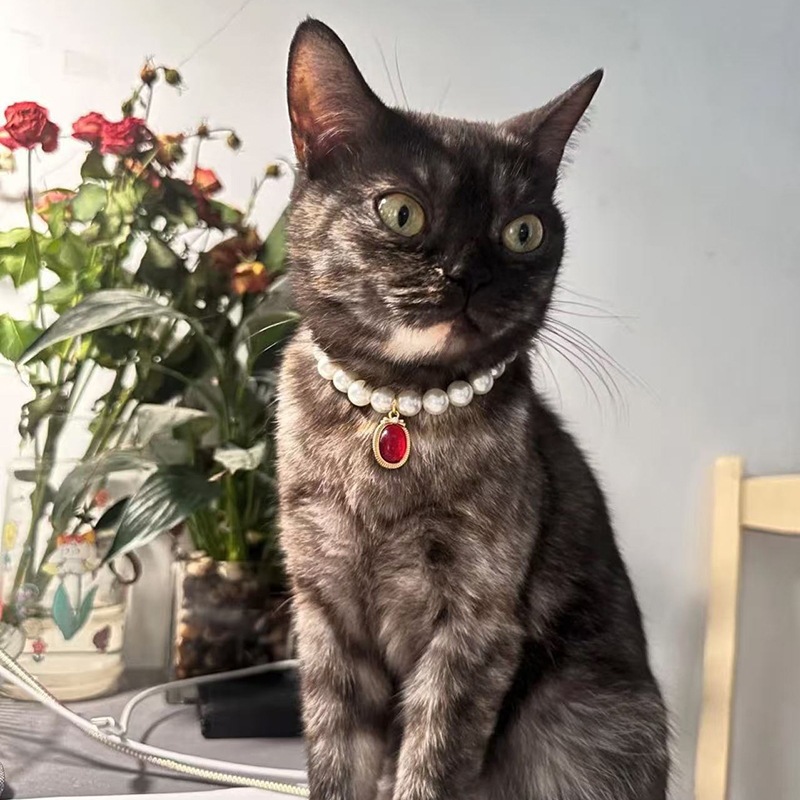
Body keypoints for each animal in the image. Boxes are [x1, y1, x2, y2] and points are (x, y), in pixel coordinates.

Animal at [277, 18, 669, 800]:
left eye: (524, 231)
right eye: (401, 212)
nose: (468, 277)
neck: (397, 410)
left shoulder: (476, 626)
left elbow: (431, 766)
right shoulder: (326, 616)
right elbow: (336, 761)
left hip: (588, 718)